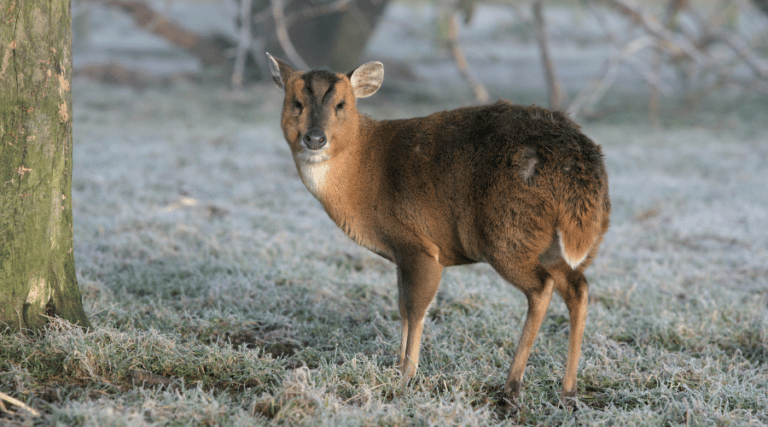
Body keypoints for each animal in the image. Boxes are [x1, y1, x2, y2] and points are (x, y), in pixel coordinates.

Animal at [268, 53, 608, 402]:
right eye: (296, 103)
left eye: (341, 104)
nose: (315, 138)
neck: (362, 173)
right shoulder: (400, 253)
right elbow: (402, 306)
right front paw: (397, 368)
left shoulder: (418, 244)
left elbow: (416, 308)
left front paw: (406, 375)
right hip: (557, 244)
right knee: (578, 287)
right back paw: (568, 388)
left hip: (508, 236)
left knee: (541, 288)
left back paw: (511, 385)